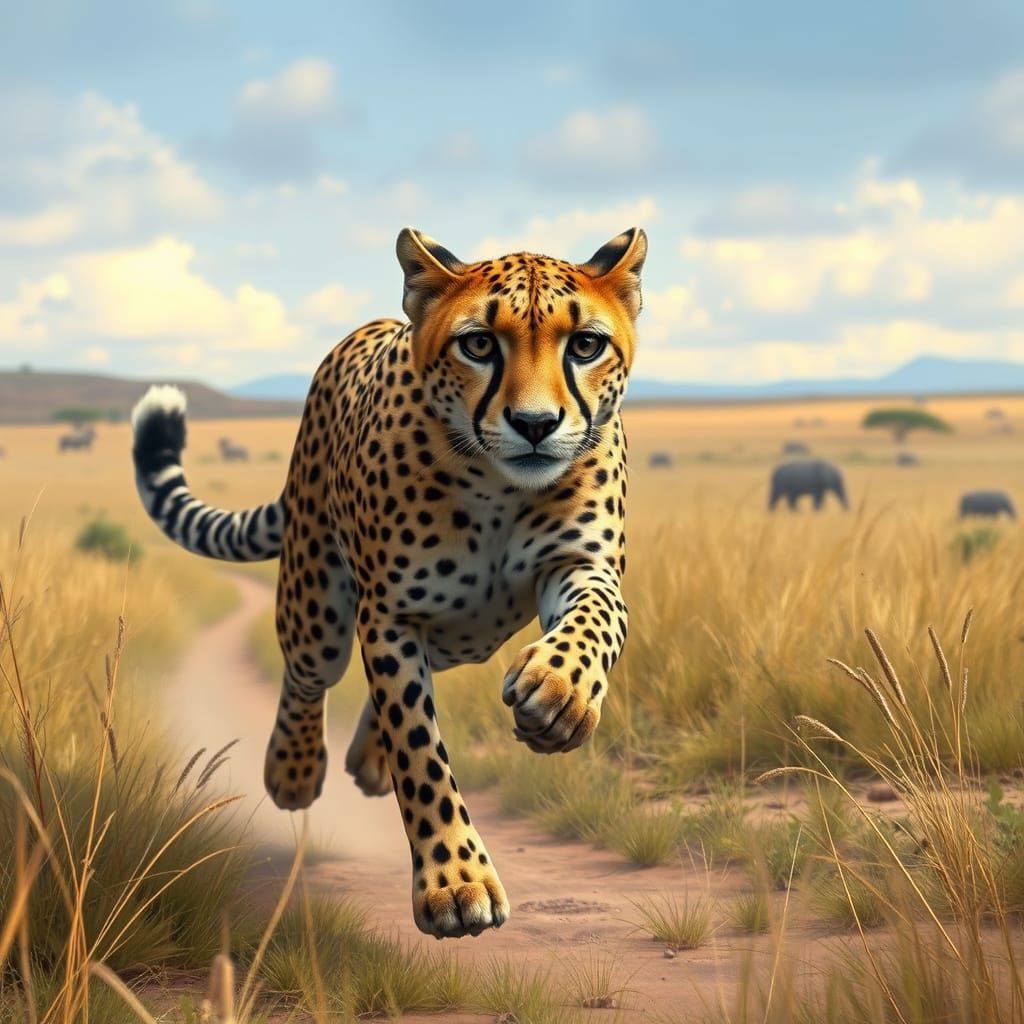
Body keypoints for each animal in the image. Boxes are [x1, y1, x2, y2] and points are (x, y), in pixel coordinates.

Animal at [130, 225, 647, 938]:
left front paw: (559, 692)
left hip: (464, 635)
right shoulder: (390, 615)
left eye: (586, 345)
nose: (536, 425)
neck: (498, 488)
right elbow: (419, 748)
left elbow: (598, 619)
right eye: (478, 344)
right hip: (318, 599)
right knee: (308, 673)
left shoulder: (579, 565)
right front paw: (455, 885)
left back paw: (366, 758)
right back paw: (294, 769)